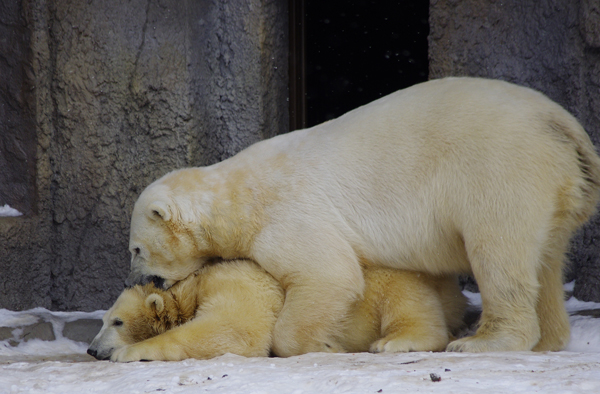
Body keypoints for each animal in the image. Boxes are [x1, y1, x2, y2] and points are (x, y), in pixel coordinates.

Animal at [88, 260, 468, 362]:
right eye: (102, 320)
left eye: (117, 321)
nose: (91, 349)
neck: (191, 286)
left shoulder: (240, 282)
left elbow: (235, 329)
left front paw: (128, 351)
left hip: (387, 275)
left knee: (403, 297)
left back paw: (393, 342)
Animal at [125, 77, 600, 354]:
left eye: (136, 250)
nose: (144, 281)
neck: (237, 194)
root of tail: (563, 126)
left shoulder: (287, 215)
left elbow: (328, 274)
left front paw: (321, 345)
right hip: (556, 186)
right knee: (546, 257)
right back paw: (549, 339)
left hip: (501, 169)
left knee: (498, 249)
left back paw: (484, 342)